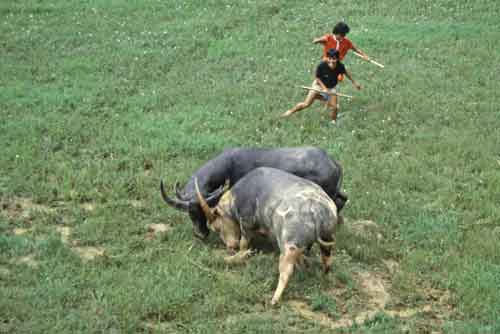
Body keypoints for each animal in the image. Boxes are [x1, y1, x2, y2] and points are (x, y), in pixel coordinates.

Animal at [160, 147, 348, 239]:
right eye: (191, 214)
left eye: (203, 212)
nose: (200, 234)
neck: (228, 168)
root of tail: (333, 162)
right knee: (342, 200)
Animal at [193, 167, 338, 306]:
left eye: (216, 228)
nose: (230, 247)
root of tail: (316, 212)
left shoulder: (245, 223)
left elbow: (244, 244)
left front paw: (240, 254)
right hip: (327, 237)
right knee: (326, 258)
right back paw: (323, 274)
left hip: (289, 246)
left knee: (286, 270)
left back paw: (275, 299)